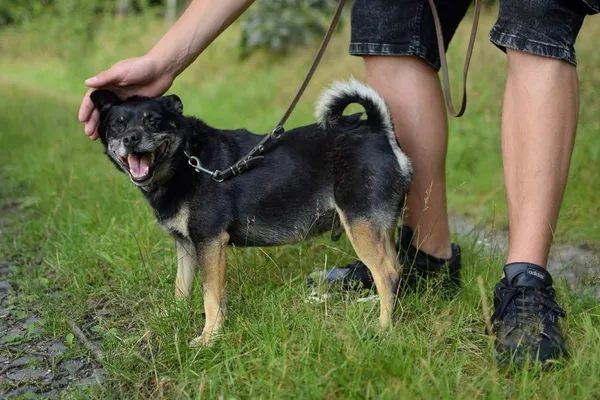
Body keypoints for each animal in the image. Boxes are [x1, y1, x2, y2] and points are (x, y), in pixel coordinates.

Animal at [90, 81, 412, 346]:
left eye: (154, 122)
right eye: (116, 126)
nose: (131, 138)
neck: (186, 161)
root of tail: (378, 129)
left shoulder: (210, 241)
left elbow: (210, 296)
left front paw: (210, 337)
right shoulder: (186, 245)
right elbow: (181, 287)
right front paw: (173, 317)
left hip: (360, 225)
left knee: (387, 273)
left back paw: (383, 327)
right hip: (379, 226)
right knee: (396, 269)